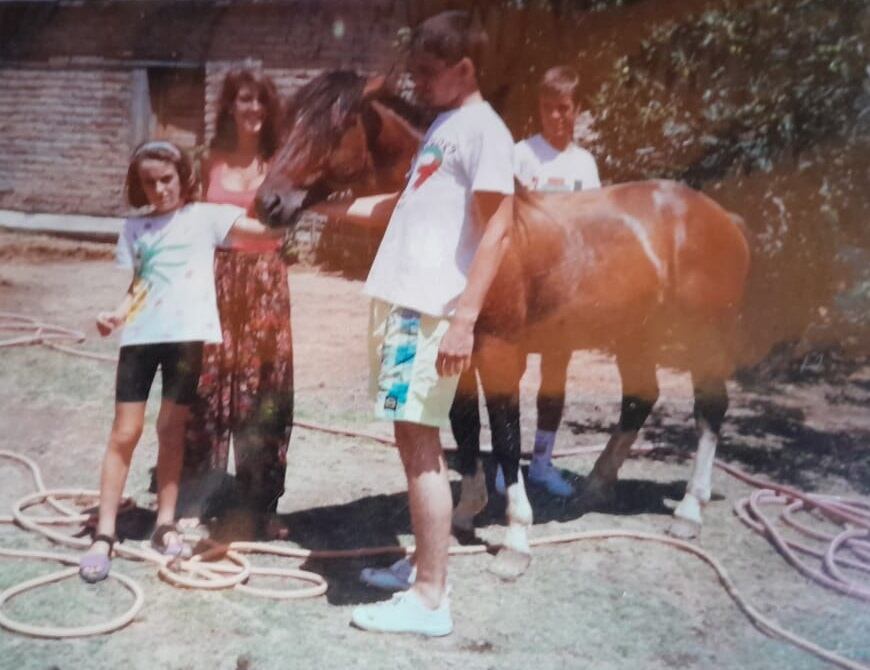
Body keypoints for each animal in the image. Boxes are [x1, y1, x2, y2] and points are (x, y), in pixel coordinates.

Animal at [255, 71, 752, 580]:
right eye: (290, 121)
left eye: (332, 128)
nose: (267, 201)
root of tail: (722, 217)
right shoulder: (457, 356)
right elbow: (467, 430)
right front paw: (464, 514)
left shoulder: (499, 354)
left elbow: (507, 438)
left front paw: (516, 539)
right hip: (633, 335)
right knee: (640, 398)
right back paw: (595, 486)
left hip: (699, 338)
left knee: (710, 409)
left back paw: (689, 510)